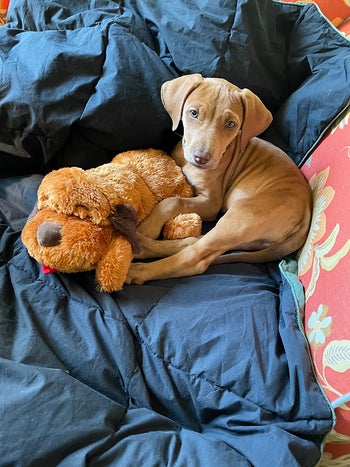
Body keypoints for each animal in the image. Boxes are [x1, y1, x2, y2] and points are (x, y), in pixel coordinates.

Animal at [126, 73, 312, 286]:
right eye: (193, 113)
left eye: (231, 124)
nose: (201, 157)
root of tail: (307, 210)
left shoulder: (211, 203)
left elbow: (173, 201)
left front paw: (148, 226)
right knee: (195, 241)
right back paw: (139, 245)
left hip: (241, 217)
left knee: (195, 257)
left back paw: (139, 263)